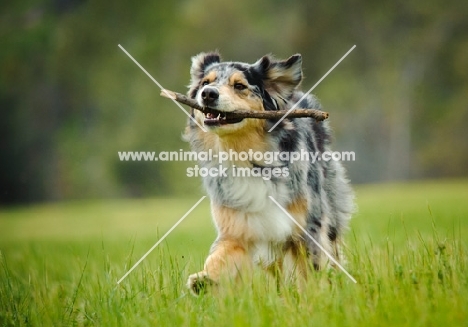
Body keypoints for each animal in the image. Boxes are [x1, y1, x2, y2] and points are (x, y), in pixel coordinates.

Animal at [185, 52, 352, 296]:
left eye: (239, 86)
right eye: (206, 82)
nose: (207, 93)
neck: (246, 155)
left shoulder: (307, 228)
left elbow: (308, 274)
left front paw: (312, 298)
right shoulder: (236, 228)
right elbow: (220, 255)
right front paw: (204, 279)